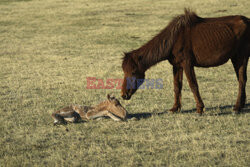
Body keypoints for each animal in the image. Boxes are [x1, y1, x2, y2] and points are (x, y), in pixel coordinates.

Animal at [120, 8, 248, 114]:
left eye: (133, 72)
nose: (123, 95)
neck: (173, 39)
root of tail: (247, 20)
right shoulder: (177, 66)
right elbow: (177, 86)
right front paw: (175, 108)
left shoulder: (187, 64)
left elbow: (193, 85)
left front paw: (200, 108)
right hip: (235, 58)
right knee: (241, 79)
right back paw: (241, 105)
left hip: (242, 57)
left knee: (242, 80)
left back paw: (237, 107)